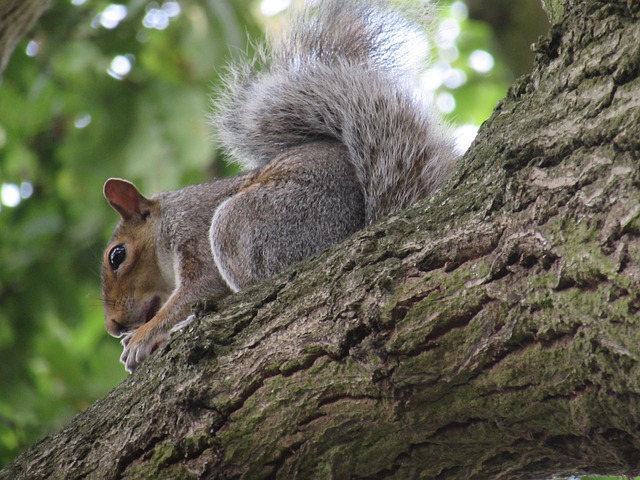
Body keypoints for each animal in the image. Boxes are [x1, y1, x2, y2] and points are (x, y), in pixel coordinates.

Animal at [102, 0, 458, 376]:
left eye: (117, 256)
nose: (113, 326)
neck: (167, 222)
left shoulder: (194, 232)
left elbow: (199, 289)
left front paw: (144, 336)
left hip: (249, 223)